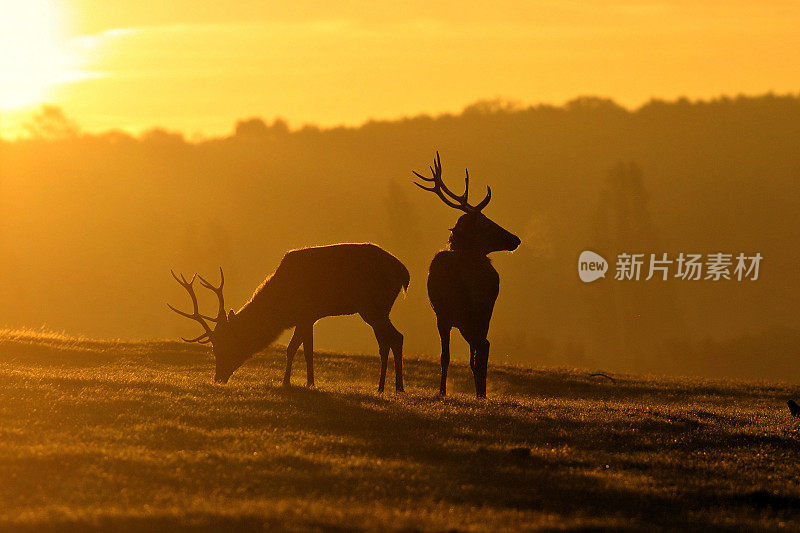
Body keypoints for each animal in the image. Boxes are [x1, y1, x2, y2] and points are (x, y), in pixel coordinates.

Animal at [166, 244, 410, 390]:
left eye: (223, 347)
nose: (218, 378)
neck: (282, 309)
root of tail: (405, 274)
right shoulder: (309, 317)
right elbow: (307, 350)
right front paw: (310, 383)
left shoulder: (304, 314)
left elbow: (292, 348)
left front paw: (286, 382)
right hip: (376, 309)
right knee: (387, 340)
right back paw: (384, 387)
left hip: (374, 307)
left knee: (395, 337)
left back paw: (395, 387)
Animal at [416, 152, 520, 396]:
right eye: (487, 223)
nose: (516, 239)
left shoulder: (442, 315)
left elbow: (445, 356)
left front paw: (442, 391)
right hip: (482, 312)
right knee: (483, 345)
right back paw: (481, 393)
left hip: (468, 314)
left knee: (480, 345)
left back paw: (479, 391)